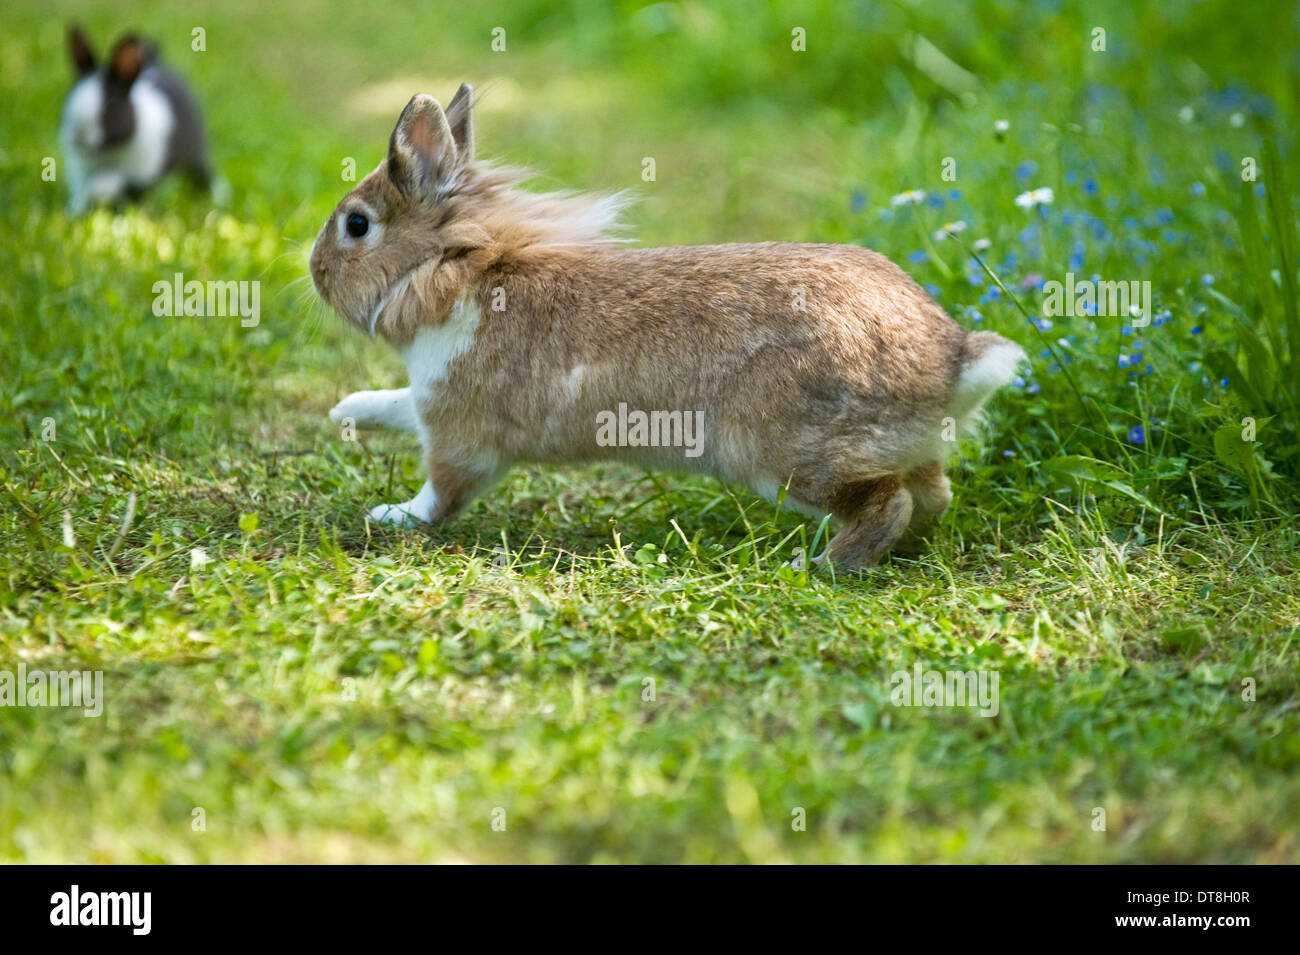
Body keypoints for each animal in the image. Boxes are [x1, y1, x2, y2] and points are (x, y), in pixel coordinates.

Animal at [60, 24, 216, 215]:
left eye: (110, 104)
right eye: (70, 96)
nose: (78, 137)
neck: (106, 154)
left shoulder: (136, 174)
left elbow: (106, 183)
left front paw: (97, 193)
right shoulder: (80, 171)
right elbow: (80, 193)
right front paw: (74, 213)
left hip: (195, 154)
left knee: (203, 174)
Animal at [310, 87, 1025, 571]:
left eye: (356, 225)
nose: (313, 271)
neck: (454, 269)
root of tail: (951, 362)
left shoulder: (458, 433)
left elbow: (442, 492)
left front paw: (393, 514)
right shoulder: (430, 404)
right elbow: (396, 405)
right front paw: (346, 410)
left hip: (784, 454)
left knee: (886, 503)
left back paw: (819, 565)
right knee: (932, 494)